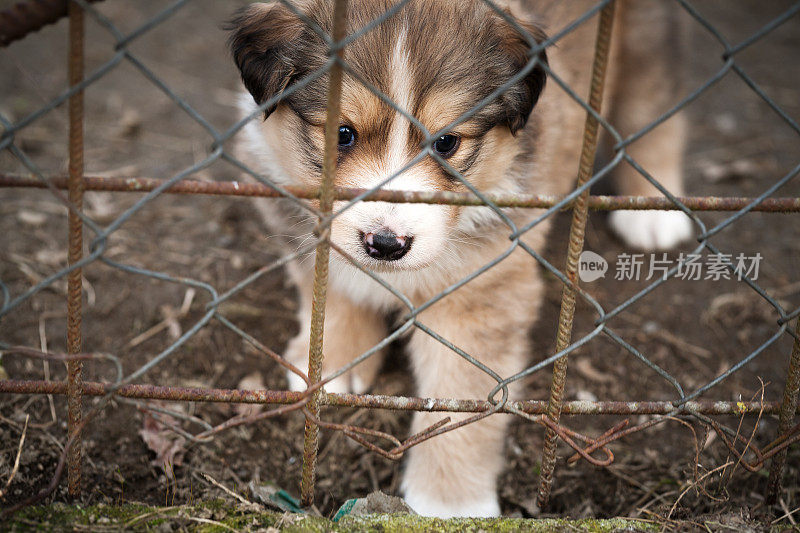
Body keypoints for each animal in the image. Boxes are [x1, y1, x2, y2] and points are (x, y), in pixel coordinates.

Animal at [228, 0, 692, 516]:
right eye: (342, 134)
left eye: (446, 143)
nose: (385, 245)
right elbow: (335, 289)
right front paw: (333, 364)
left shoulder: (479, 293)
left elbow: (458, 399)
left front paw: (449, 503)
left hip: (646, 37)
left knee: (655, 112)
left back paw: (654, 209)